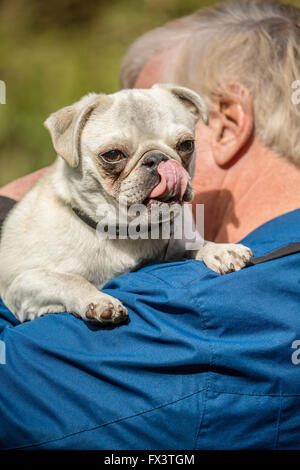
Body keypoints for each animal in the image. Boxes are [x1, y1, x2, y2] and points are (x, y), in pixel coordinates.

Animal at [0, 85, 253, 324]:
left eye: (187, 145)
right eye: (112, 155)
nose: (157, 159)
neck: (127, 232)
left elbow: (194, 245)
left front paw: (220, 250)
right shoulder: (23, 282)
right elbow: (70, 280)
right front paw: (98, 300)